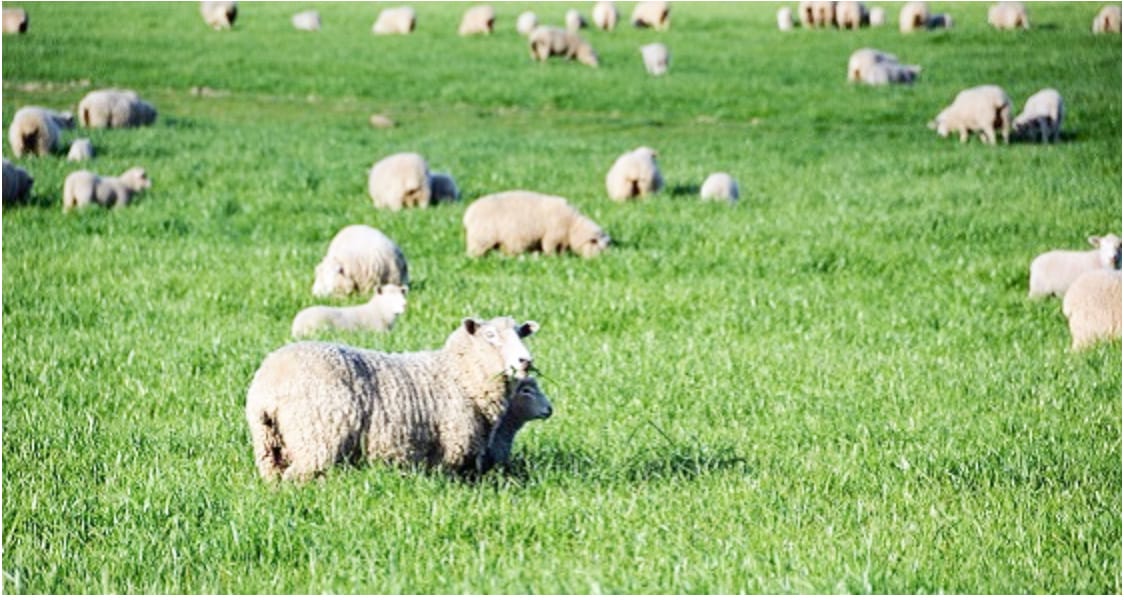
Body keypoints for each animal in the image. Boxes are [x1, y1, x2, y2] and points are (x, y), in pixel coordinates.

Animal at [245, 316, 540, 482]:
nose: (525, 361)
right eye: (490, 336)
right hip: (316, 440)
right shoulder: (451, 451)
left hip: (269, 445)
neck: (460, 374)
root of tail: (270, 382)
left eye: (520, 333)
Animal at [463, 190, 611, 258]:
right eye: (599, 247)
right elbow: (551, 248)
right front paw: (555, 258)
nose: (605, 260)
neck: (573, 225)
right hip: (480, 239)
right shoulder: (553, 236)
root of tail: (468, 213)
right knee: (474, 253)